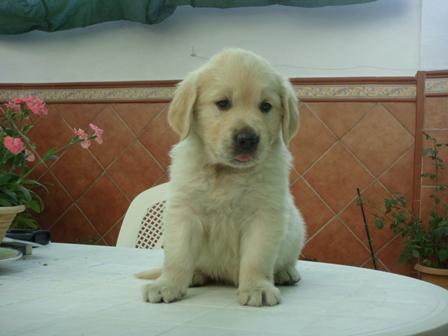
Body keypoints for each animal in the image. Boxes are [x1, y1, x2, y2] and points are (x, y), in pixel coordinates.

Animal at [142, 48, 306, 308]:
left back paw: (285, 273)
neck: (227, 172)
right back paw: (195, 275)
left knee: (286, 260)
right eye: (223, 103)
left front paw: (257, 287)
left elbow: (256, 258)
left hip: (297, 230)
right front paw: (167, 284)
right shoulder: (184, 212)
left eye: (266, 106)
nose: (247, 139)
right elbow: (177, 256)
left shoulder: (264, 215)